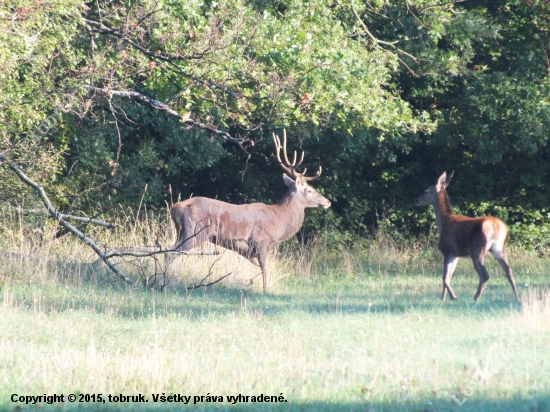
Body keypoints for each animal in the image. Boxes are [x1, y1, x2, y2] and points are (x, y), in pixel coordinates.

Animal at [167, 130, 332, 292]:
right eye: (309, 190)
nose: (328, 202)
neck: (279, 220)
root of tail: (177, 207)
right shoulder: (261, 241)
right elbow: (266, 268)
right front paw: (263, 290)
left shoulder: (248, 249)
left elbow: (263, 267)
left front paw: (246, 281)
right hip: (196, 231)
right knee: (172, 252)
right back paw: (165, 281)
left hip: (182, 231)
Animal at [418, 171, 520, 302]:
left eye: (426, 191)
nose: (416, 200)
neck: (444, 222)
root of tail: (498, 226)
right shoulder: (456, 255)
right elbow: (448, 277)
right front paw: (443, 299)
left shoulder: (448, 250)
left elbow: (444, 278)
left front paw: (453, 297)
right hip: (499, 248)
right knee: (509, 271)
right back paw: (517, 297)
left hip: (477, 249)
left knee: (485, 275)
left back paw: (476, 298)